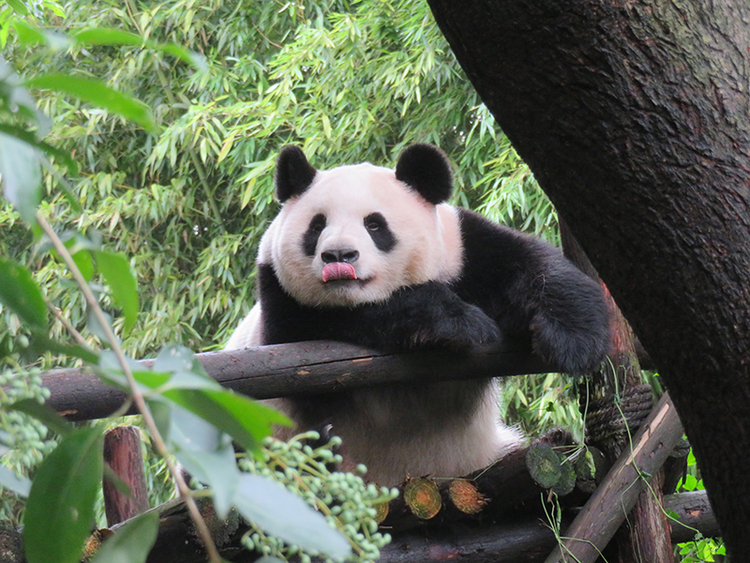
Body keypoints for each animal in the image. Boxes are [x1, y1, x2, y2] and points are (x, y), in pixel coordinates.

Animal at [228, 143, 612, 486]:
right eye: (317, 225)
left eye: (374, 225)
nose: (338, 255)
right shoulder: (283, 305)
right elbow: (336, 328)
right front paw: (459, 321)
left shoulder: (464, 252)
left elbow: (528, 264)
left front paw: (574, 340)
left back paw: (556, 439)